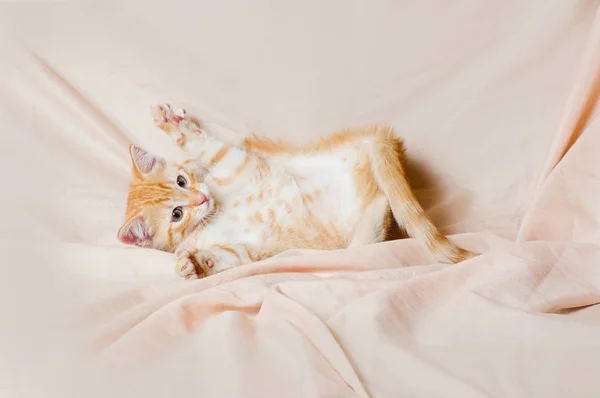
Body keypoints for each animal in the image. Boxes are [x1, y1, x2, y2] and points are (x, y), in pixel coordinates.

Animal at [117, 102, 476, 280]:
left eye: (181, 180)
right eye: (176, 214)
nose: (201, 198)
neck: (216, 211)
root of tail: (373, 140)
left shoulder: (242, 165)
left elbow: (210, 149)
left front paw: (175, 127)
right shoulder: (249, 249)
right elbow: (227, 256)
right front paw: (192, 265)